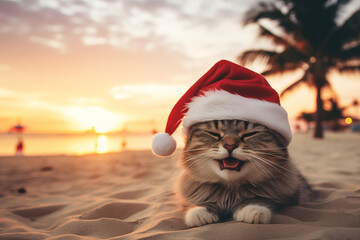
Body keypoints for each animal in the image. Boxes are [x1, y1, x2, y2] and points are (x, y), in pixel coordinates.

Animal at [176, 119, 316, 227]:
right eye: (214, 134)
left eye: (250, 134)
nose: (230, 146)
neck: (230, 191)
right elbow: (203, 203)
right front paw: (200, 212)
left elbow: (259, 200)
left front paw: (252, 208)